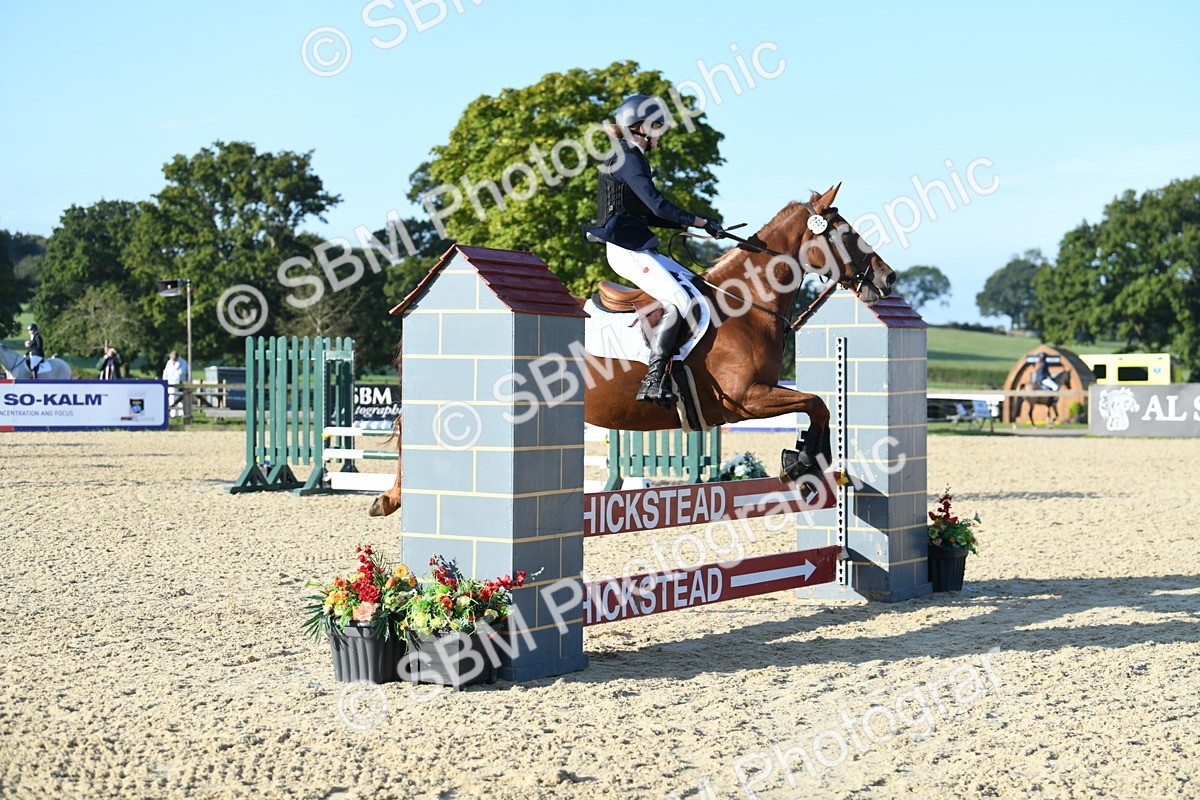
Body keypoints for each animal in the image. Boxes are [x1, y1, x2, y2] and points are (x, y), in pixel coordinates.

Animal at [369, 184, 896, 516]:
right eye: (847, 232)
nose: (887, 278)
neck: (746, 304)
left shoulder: (755, 397)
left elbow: (818, 405)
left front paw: (801, 456)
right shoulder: (745, 399)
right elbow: (817, 403)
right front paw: (804, 459)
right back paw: (390, 499)